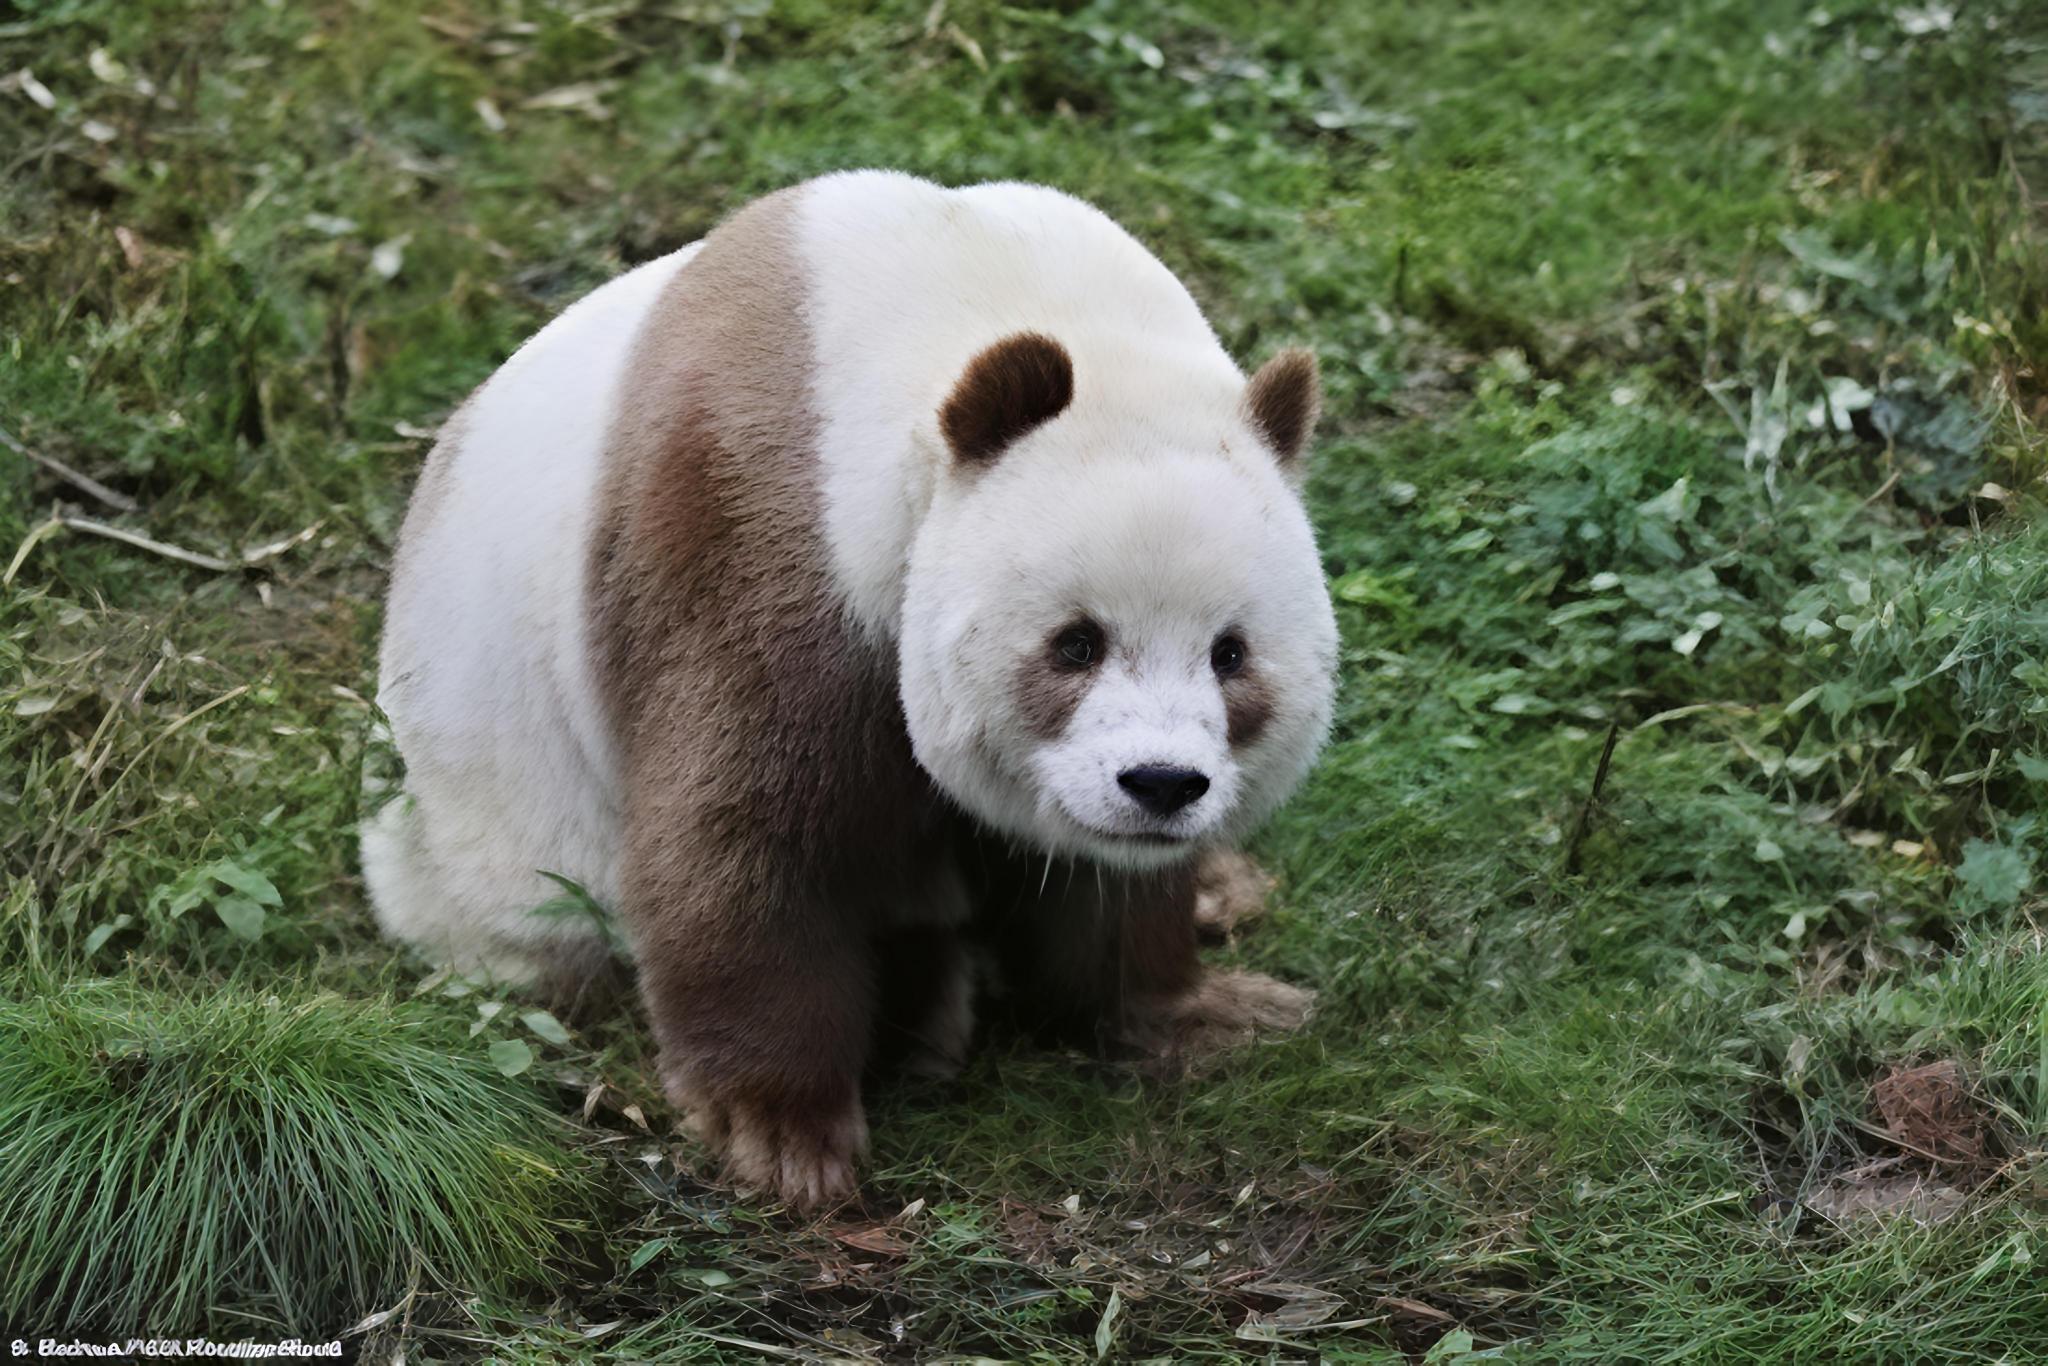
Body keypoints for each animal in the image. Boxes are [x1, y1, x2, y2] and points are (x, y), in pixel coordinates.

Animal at [362, 170, 1339, 1209]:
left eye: (1230, 655)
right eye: (1076, 644)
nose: (1161, 785)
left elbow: (1102, 888)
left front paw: (1210, 1013)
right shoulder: (756, 525)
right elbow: (748, 835)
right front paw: (786, 1134)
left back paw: (1220, 891)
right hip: (497, 831)